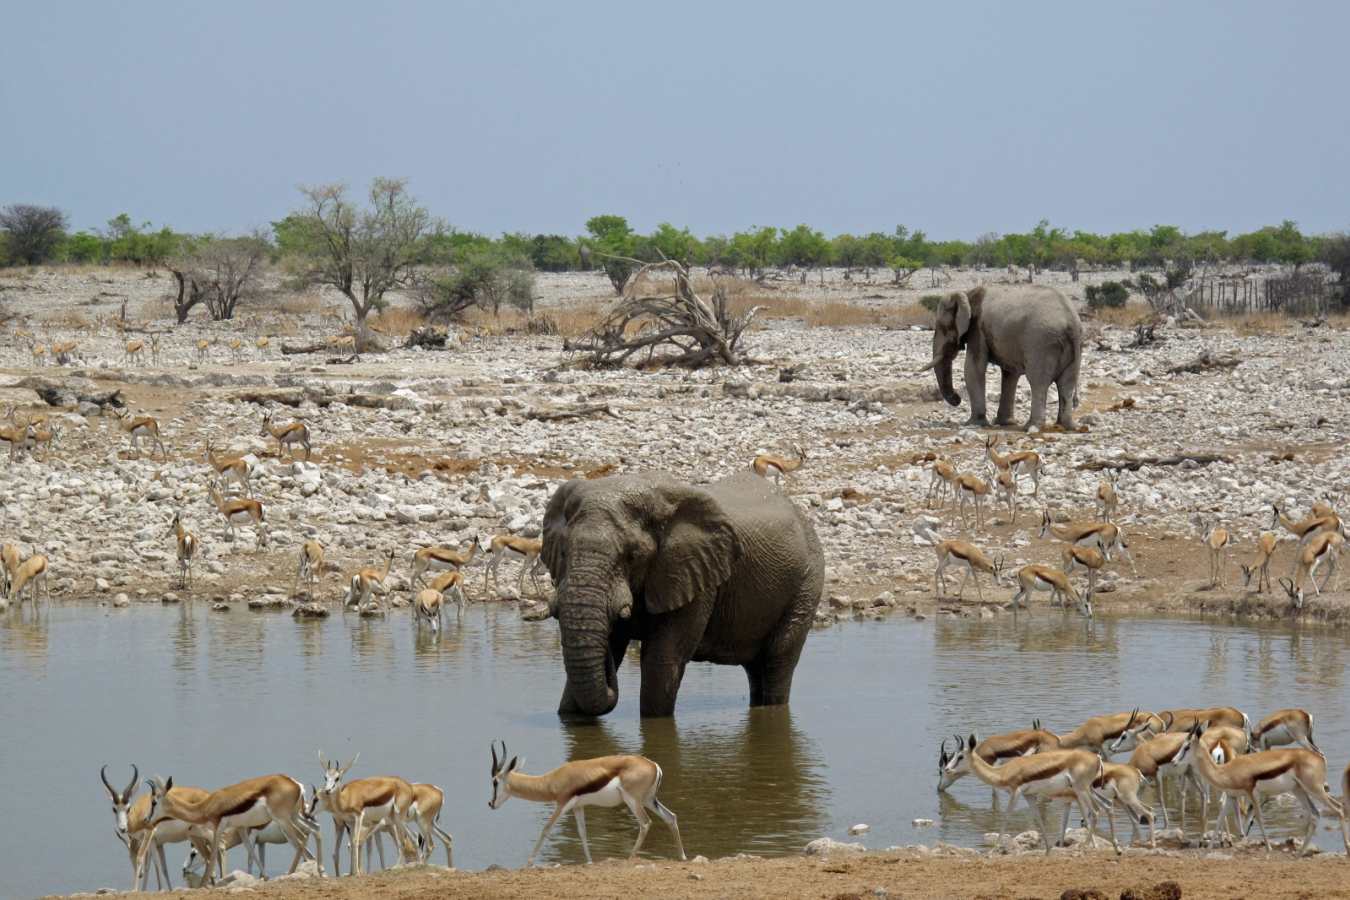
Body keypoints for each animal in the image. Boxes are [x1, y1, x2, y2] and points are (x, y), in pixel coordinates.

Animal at [541, 471, 825, 718]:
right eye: (563, 552)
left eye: (633, 556)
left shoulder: (694, 576)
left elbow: (661, 662)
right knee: (756, 668)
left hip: (808, 580)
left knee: (778, 658)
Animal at [921, 284, 1082, 431]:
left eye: (942, 327)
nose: (957, 399)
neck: (967, 293)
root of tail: (1071, 322)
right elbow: (1010, 374)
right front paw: (1005, 423)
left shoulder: (977, 328)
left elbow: (973, 368)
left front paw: (973, 424)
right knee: (1067, 383)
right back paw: (1066, 426)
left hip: (1041, 344)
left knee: (1038, 382)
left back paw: (1031, 427)